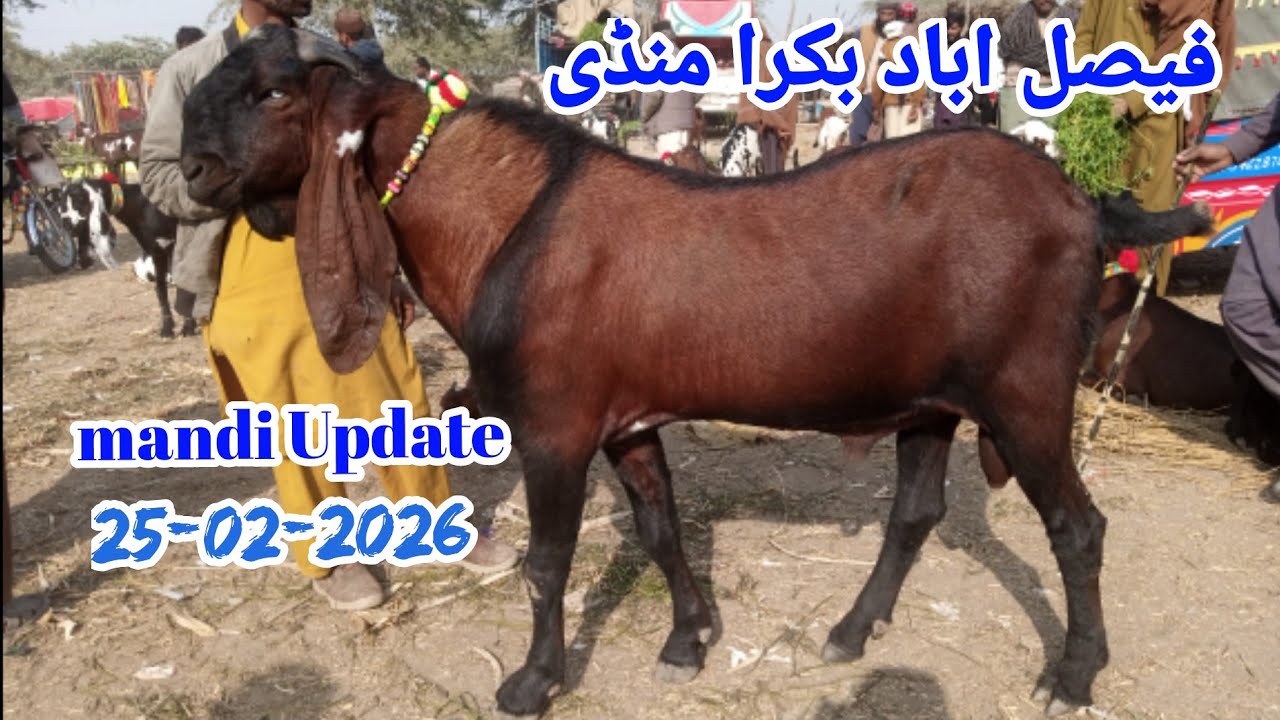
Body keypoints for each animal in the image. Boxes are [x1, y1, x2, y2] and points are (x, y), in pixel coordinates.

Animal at [60, 176, 195, 338]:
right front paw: (167, 329)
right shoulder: (156, 251)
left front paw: (188, 326)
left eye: (79, 201)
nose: (82, 262)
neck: (142, 206)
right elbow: (161, 290)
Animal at [179, 27, 1215, 718]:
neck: (512, 219)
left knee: (1078, 527)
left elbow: (547, 563)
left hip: (1026, 390)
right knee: (916, 511)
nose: (187, 169)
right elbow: (660, 528)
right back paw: (851, 631)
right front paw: (689, 639)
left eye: (271, 93)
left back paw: (1073, 674)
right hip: (933, 397)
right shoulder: (627, 421)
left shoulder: (554, 426)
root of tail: (1086, 205)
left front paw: (531, 681)